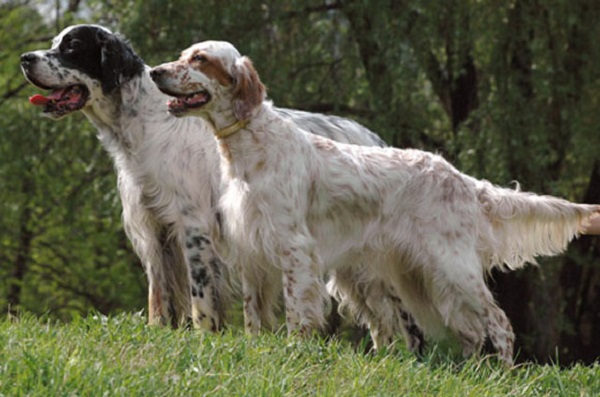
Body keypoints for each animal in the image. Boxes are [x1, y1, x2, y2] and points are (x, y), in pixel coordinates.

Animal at [22, 24, 408, 334]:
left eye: (72, 46)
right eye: (54, 43)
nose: (25, 58)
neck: (146, 124)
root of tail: (375, 139)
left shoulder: (195, 227)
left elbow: (202, 299)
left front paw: (205, 337)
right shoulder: (154, 230)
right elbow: (159, 298)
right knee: (383, 324)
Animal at [150, 41, 600, 364]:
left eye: (200, 58)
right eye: (182, 55)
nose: (155, 72)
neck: (252, 145)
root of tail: (462, 179)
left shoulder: (295, 248)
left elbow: (298, 310)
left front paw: (295, 350)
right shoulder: (251, 248)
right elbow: (254, 313)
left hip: (452, 267)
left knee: (499, 324)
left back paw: (502, 375)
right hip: (423, 277)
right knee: (471, 331)